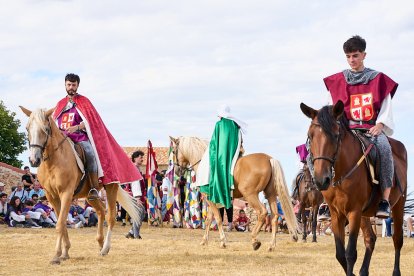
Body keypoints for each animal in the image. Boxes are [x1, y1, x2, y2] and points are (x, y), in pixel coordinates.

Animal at [21, 106, 142, 264]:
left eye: (45, 129)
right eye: (27, 128)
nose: (34, 160)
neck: (53, 161)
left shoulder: (66, 194)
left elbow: (60, 224)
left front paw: (57, 255)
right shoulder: (52, 196)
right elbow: (62, 222)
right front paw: (65, 252)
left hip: (111, 188)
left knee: (111, 217)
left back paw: (105, 248)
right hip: (90, 196)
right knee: (101, 211)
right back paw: (100, 243)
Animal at [169, 135, 298, 250]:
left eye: (174, 151)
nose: (177, 171)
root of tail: (268, 158)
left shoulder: (210, 199)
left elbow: (218, 219)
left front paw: (223, 242)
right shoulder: (211, 200)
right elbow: (209, 220)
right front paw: (204, 241)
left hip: (250, 195)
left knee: (262, 212)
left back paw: (255, 240)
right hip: (270, 195)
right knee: (275, 217)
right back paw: (271, 245)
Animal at [300, 102, 408, 276]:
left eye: (336, 135)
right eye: (310, 136)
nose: (321, 180)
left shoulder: (354, 212)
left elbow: (350, 253)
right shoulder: (337, 214)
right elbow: (340, 254)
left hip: (398, 204)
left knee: (397, 239)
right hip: (365, 214)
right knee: (370, 238)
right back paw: (364, 271)